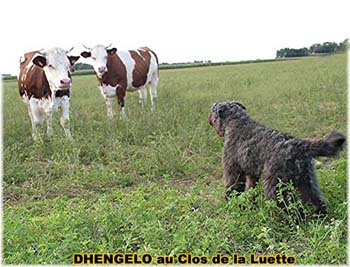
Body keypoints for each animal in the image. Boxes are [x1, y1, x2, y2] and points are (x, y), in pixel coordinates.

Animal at [208, 101, 344, 216]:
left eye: (212, 110)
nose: (209, 119)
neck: (236, 121)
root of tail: (299, 146)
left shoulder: (233, 169)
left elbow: (233, 186)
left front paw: (231, 202)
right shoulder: (252, 173)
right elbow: (251, 187)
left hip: (275, 185)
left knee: (289, 207)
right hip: (307, 180)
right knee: (316, 199)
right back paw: (321, 216)